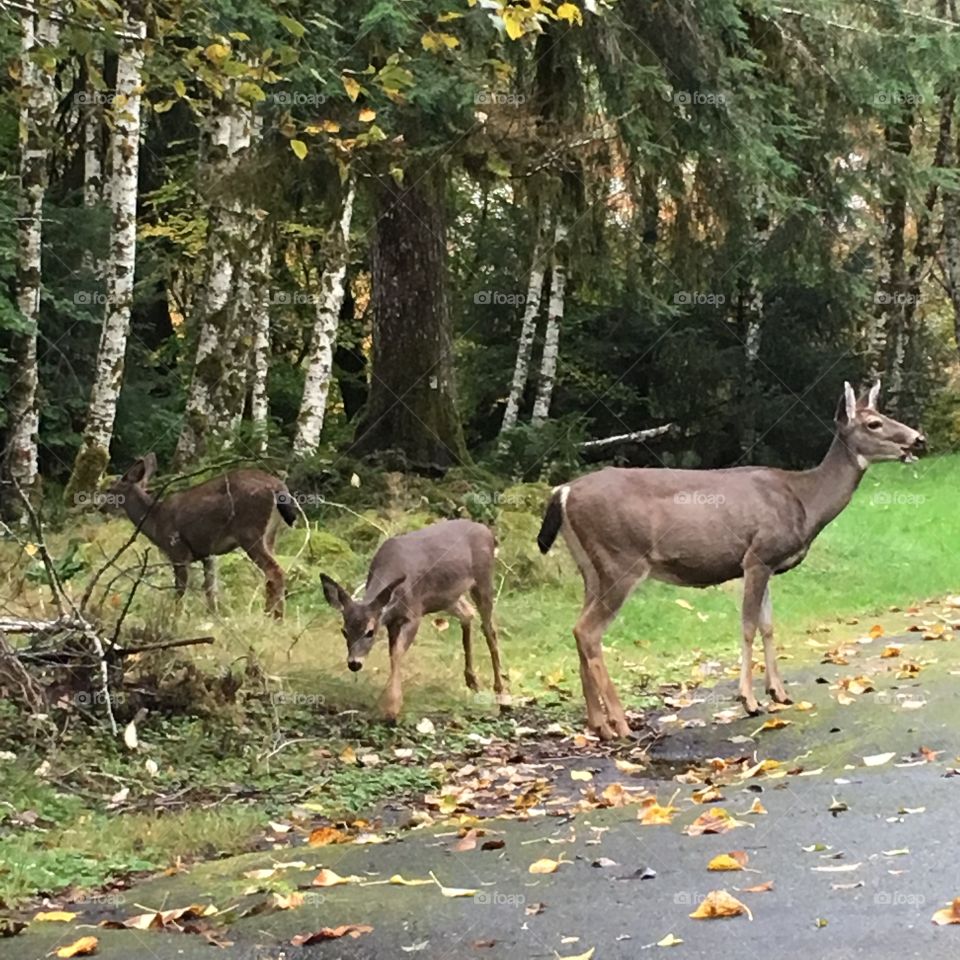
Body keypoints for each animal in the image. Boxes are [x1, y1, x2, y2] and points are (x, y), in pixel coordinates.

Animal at [109, 454, 298, 620]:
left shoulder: (178, 550)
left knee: (274, 571)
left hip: (250, 532)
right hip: (270, 535)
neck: (155, 522)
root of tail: (279, 488)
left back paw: (275, 619)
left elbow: (181, 589)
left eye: (109, 489)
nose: (102, 506)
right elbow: (210, 588)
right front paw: (213, 617)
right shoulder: (208, 553)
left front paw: (174, 619)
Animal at [320, 524, 510, 720]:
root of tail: (488, 533)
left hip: (483, 578)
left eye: (370, 632)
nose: (354, 663)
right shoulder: (392, 622)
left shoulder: (413, 613)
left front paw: (392, 708)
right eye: (344, 631)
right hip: (448, 598)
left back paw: (502, 697)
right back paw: (472, 681)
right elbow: (393, 654)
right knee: (468, 613)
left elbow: (397, 653)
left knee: (489, 628)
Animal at [536, 384, 928, 744]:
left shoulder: (768, 564)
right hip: (622, 560)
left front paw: (779, 693)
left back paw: (598, 725)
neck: (805, 501)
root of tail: (563, 491)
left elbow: (769, 626)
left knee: (578, 628)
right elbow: (748, 626)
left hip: (591, 569)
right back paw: (620, 724)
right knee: (588, 631)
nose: (918, 439)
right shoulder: (757, 556)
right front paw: (750, 700)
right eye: (874, 423)